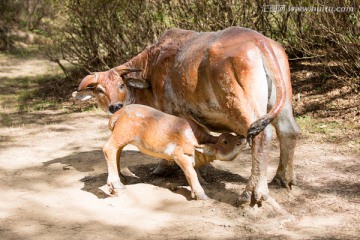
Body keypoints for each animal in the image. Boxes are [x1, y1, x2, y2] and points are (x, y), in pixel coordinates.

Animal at [102, 104, 246, 200]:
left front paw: (203, 181)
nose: (242, 138)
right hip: (122, 134)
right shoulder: (179, 155)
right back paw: (116, 183)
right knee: (109, 148)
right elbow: (191, 173)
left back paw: (121, 177)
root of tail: (118, 113)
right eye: (225, 142)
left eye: (233, 136)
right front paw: (200, 194)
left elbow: (196, 171)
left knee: (117, 152)